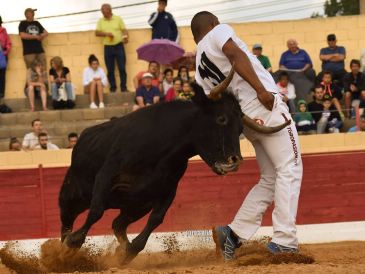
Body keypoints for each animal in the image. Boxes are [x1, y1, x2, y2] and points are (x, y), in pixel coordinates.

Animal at [58, 79, 288, 264]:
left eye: (241, 128)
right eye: (221, 119)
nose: (235, 161)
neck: (163, 145)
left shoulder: (166, 191)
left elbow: (156, 220)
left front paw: (127, 253)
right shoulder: (106, 177)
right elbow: (96, 211)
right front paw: (72, 244)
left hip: (135, 205)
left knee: (118, 224)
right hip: (72, 195)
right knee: (67, 221)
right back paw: (61, 251)